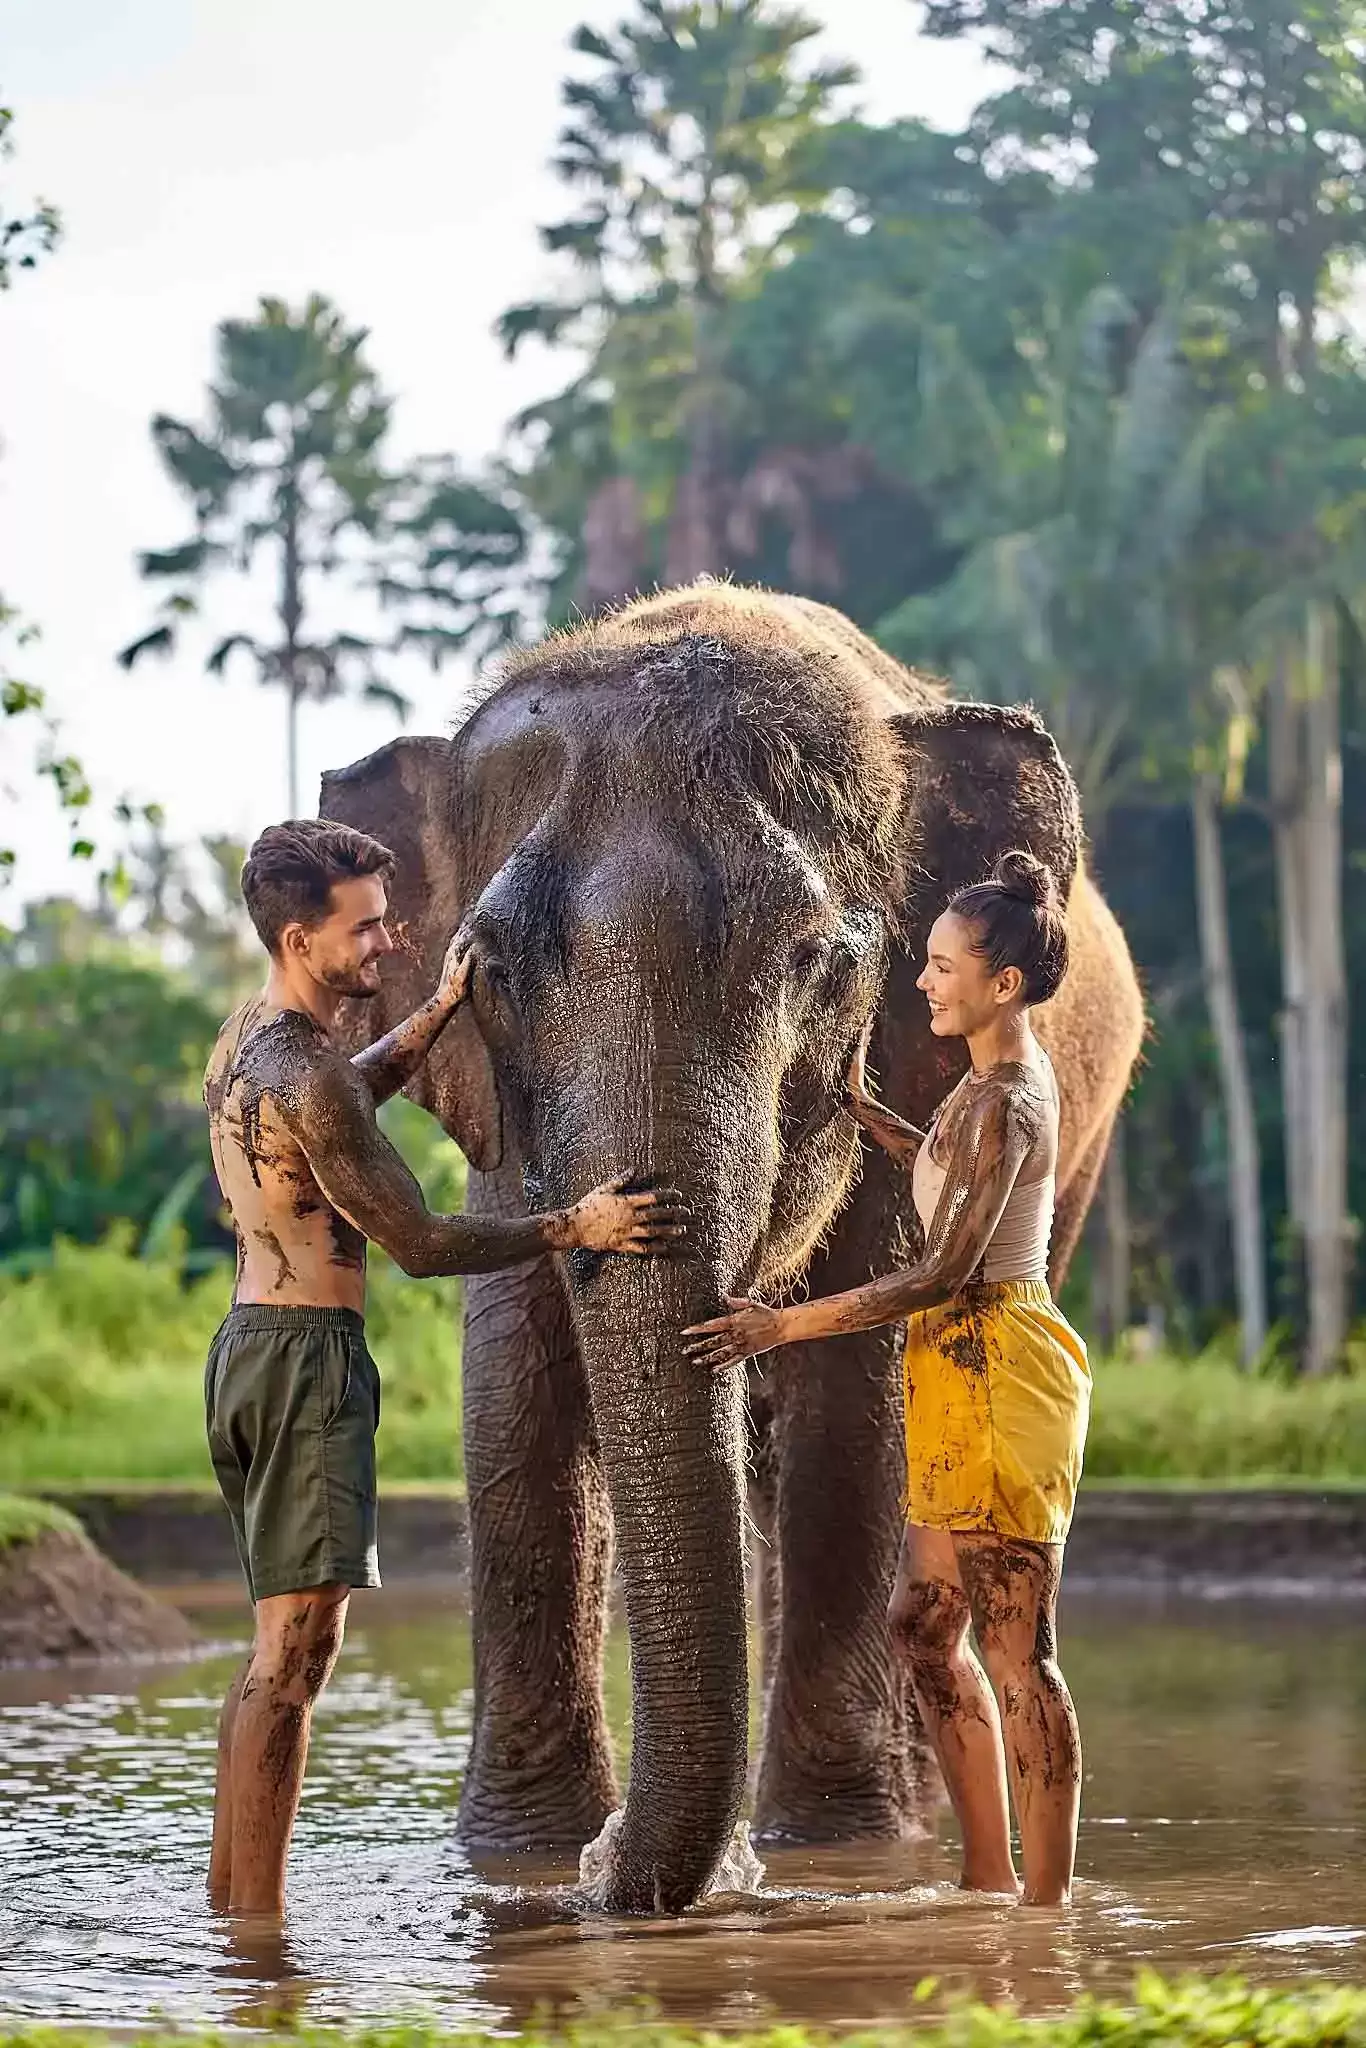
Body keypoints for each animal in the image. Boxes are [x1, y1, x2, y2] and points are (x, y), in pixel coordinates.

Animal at [319, 581, 1144, 1916]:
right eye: (483, 970)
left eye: (818, 966)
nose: (611, 1878)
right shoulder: (495, 1119)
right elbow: (513, 1387)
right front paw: (522, 1855)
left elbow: (859, 1396)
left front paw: (829, 1845)